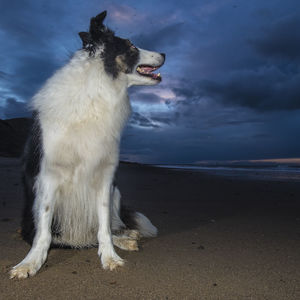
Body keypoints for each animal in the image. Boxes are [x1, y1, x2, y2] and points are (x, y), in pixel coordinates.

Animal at [9, 11, 165, 278]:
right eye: (131, 46)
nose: (164, 54)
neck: (97, 91)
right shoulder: (49, 176)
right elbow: (44, 231)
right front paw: (31, 263)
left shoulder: (104, 176)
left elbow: (103, 226)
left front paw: (110, 257)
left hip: (116, 192)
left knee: (111, 225)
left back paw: (126, 236)